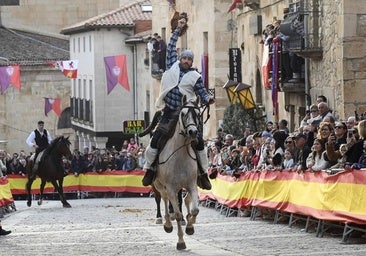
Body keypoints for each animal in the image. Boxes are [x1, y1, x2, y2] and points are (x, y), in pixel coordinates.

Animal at [153, 95, 202, 249]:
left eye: (198, 114)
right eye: (183, 113)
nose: (193, 132)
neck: (180, 155)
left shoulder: (192, 185)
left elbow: (195, 210)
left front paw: (190, 227)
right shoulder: (171, 188)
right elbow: (178, 213)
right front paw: (181, 241)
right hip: (159, 185)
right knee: (163, 198)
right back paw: (167, 223)